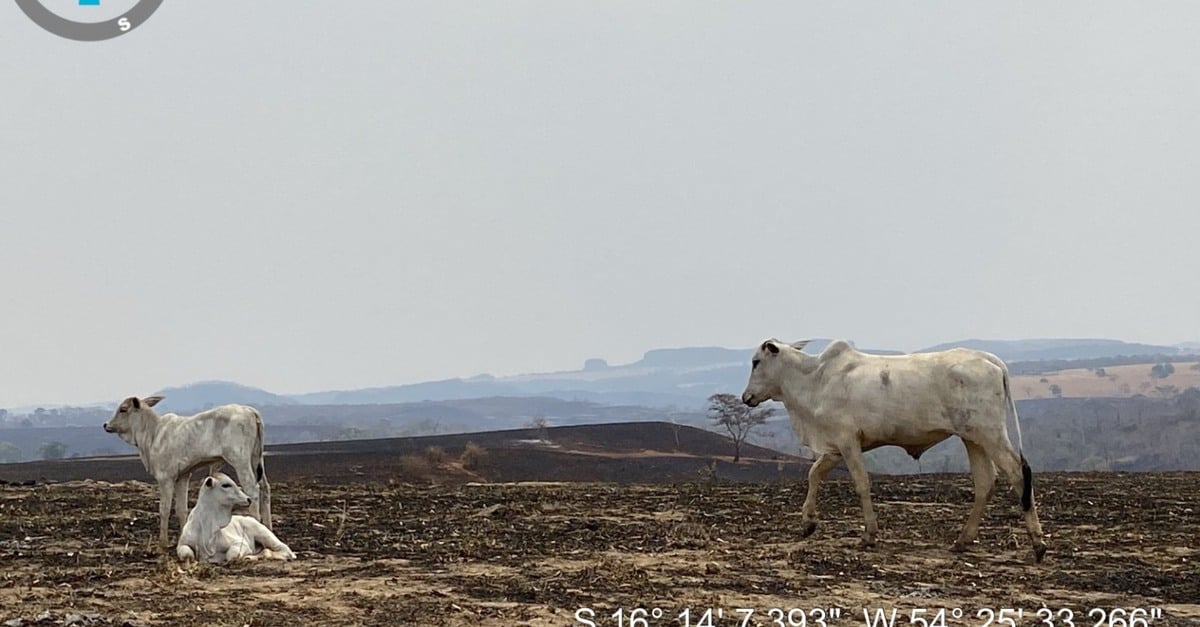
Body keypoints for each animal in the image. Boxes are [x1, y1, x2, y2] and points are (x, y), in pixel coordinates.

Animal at [102, 396, 272, 547]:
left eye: (123, 409)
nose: (105, 425)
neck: (153, 434)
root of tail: (249, 410)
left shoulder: (165, 478)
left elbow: (164, 509)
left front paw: (162, 543)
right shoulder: (183, 476)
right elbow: (181, 509)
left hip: (240, 461)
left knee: (252, 490)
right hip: (256, 458)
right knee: (265, 488)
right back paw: (269, 528)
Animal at [744, 338, 1046, 559]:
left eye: (756, 362)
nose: (746, 397)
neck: (815, 379)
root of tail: (990, 359)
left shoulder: (847, 441)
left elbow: (861, 483)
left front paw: (869, 535)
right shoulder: (834, 448)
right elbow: (814, 474)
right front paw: (808, 522)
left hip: (991, 434)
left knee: (1018, 474)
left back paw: (1038, 543)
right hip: (973, 438)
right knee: (985, 481)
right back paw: (962, 540)